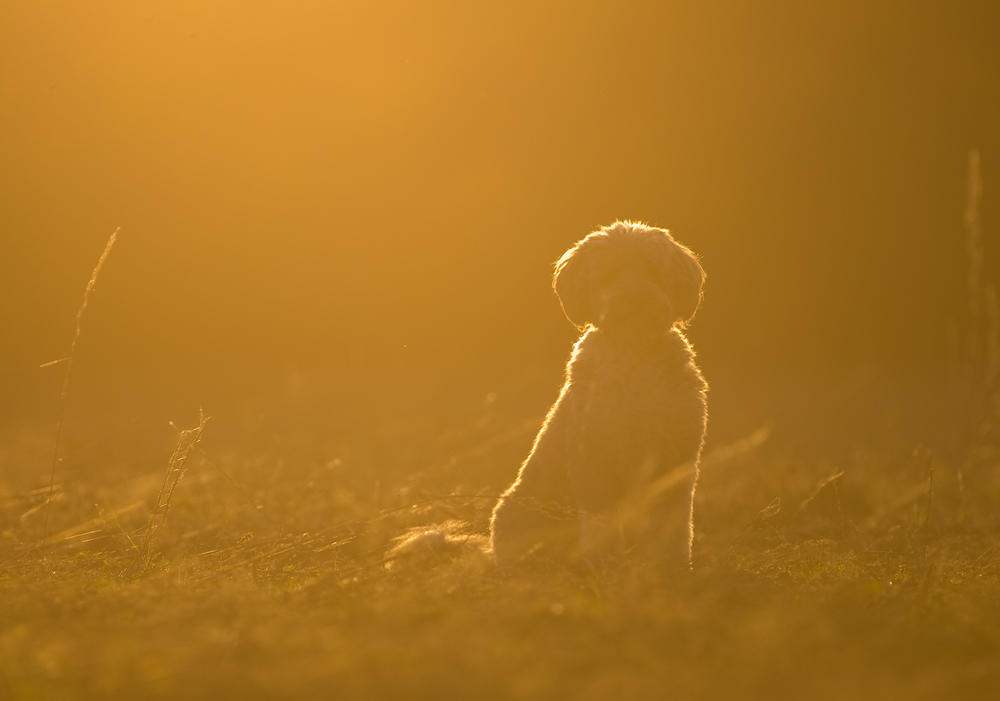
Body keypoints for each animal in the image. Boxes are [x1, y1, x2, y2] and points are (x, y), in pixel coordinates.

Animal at [488, 220, 708, 568]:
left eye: (652, 269)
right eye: (610, 273)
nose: (635, 298)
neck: (634, 354)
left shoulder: (676, 461)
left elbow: (674, 526)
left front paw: (672, 565)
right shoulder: (593, 463)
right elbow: (601, 525)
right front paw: (607, 564)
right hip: (520, 511)